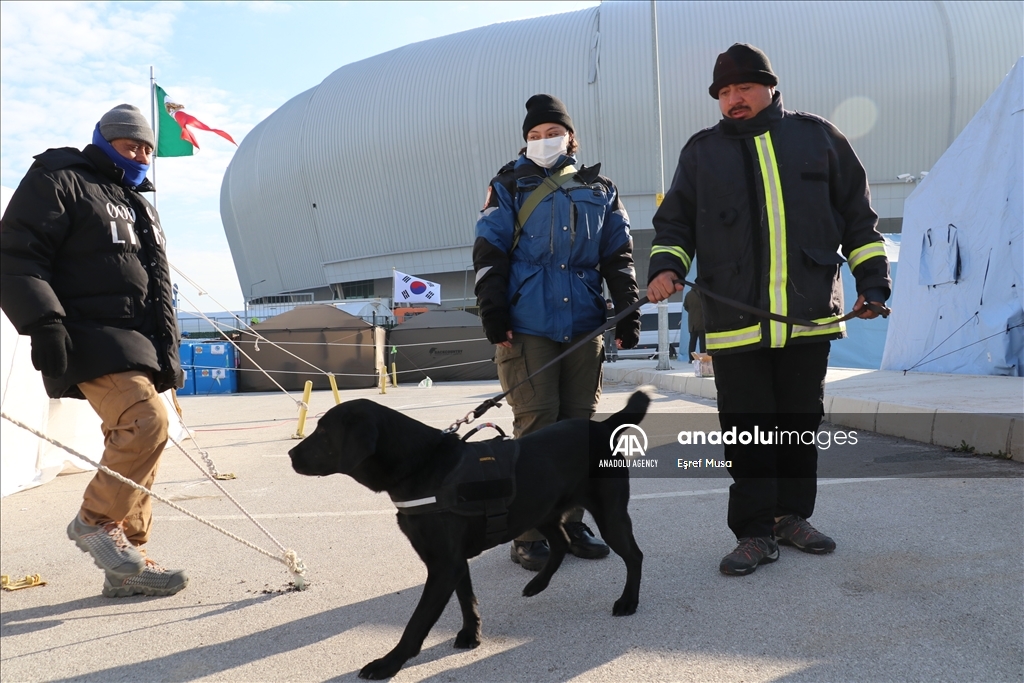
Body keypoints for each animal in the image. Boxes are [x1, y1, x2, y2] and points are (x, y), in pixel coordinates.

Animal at [288, 390, 650, 679]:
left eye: (324, 432)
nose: (291, 455)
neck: (420, 466)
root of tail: (602, 426)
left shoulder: (443, 565)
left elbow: (417, 622)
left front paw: (389, 664)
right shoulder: (455, 561)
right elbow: (467, 599)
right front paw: (471, 634)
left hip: (609, 515)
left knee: (634, 555)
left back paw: (628, 601)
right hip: (541, 510)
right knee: (560, 543)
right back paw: (537, 584)